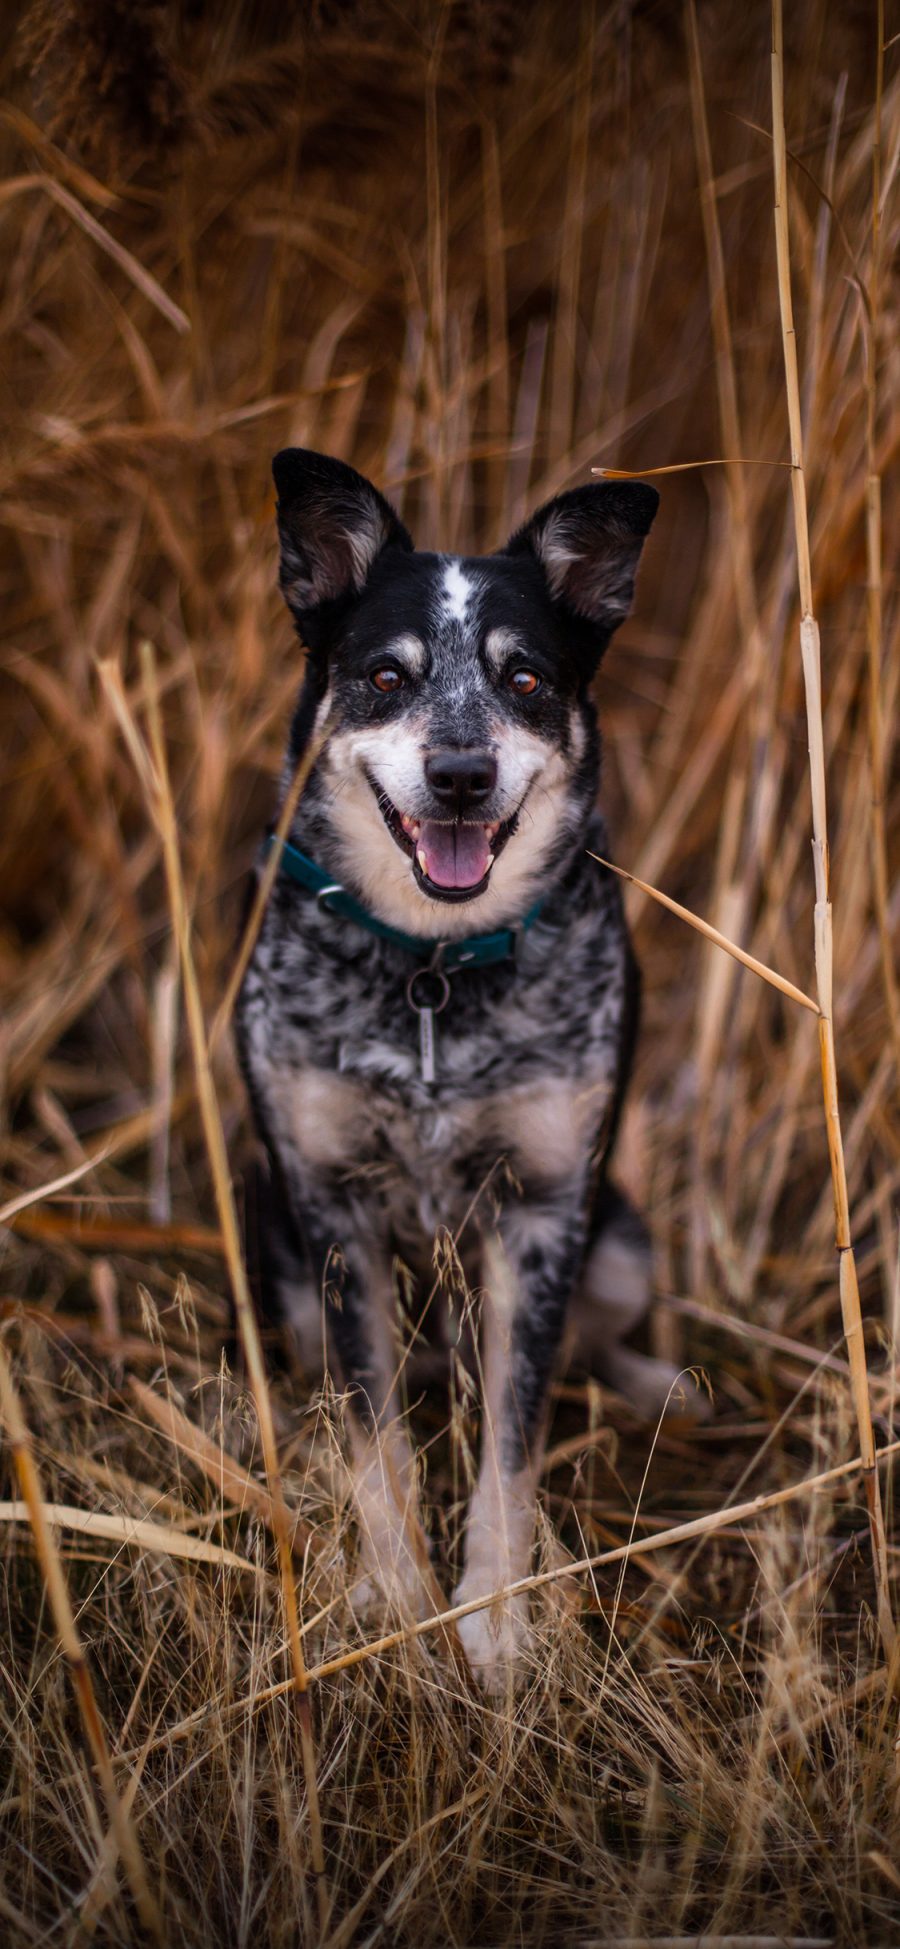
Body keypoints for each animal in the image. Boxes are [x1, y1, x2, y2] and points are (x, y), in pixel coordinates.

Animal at [233, 452, 689, 1691]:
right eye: (386, 676)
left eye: (525, 678)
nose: (460, 773)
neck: (434, 970)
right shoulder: (333, 1213)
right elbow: (373, 1431)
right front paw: (396, 1596)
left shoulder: (544, 1213)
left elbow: (515, 1438)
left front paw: (493, 1617)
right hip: (276, 1242)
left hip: (620, 1238)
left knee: (592, 1341)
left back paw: (657, 1386)